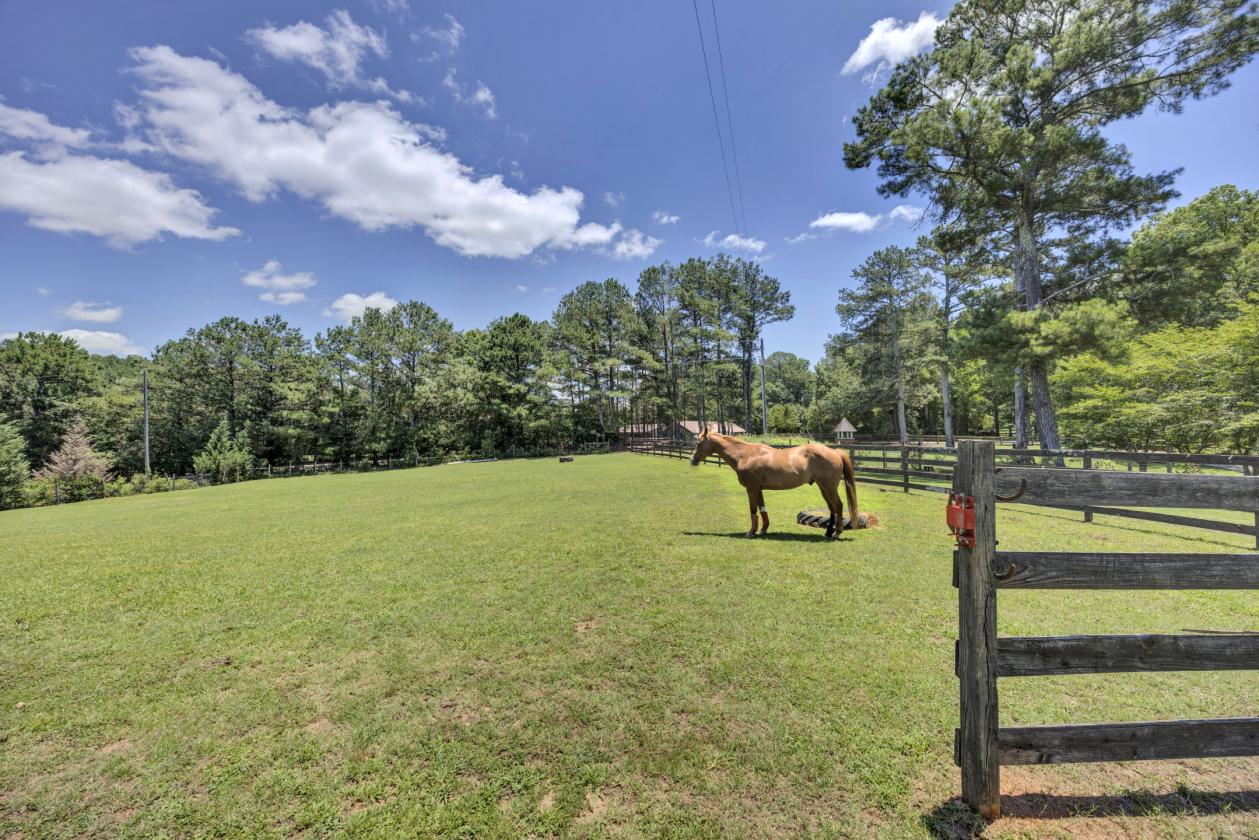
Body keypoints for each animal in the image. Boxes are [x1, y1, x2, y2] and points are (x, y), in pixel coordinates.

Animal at [690, 429, 862, 540]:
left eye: (699, 443)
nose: (693, 460)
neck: (745, 455)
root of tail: (835, 452)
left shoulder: (751, 488)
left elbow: (753, 510)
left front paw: (751, 532)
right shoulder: (758, 489)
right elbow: (762, 509)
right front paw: (763, 530)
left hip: (829, 487)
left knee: (838, 506)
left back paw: (837, 533)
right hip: (823, 487)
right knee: (832, 508)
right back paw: (828, 532)